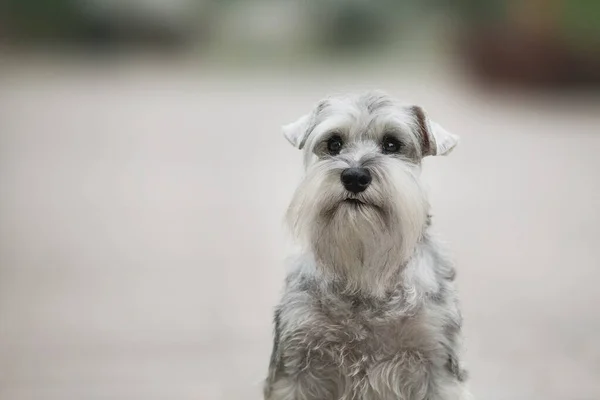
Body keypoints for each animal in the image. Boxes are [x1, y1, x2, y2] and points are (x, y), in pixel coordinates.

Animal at [264, 91, 472, 400]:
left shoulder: (436, 366)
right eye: (334, 143)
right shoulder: (296, 368)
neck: (364, 274)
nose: (354, 176)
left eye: (392, 144)